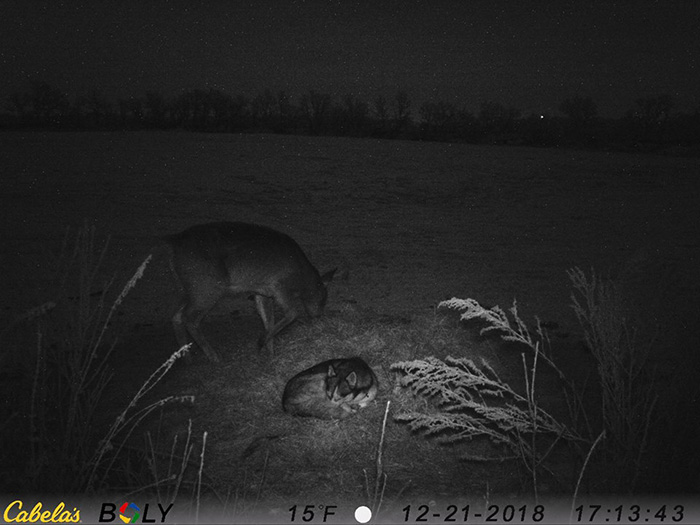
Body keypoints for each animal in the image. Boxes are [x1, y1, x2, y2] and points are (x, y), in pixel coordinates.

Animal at [167, 220, 336, 360]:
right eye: (324, 298)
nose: (318, 316)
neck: (303, 278)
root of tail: (174, 241)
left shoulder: (262, 292)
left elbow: (268, 320)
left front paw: (270, 354)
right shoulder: (280, 285)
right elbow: (292, 313)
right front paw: (261, 342)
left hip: (187, 288)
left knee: (176, 316)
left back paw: (185, 358)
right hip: (208, 287)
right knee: (190, 318)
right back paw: (214, 357)